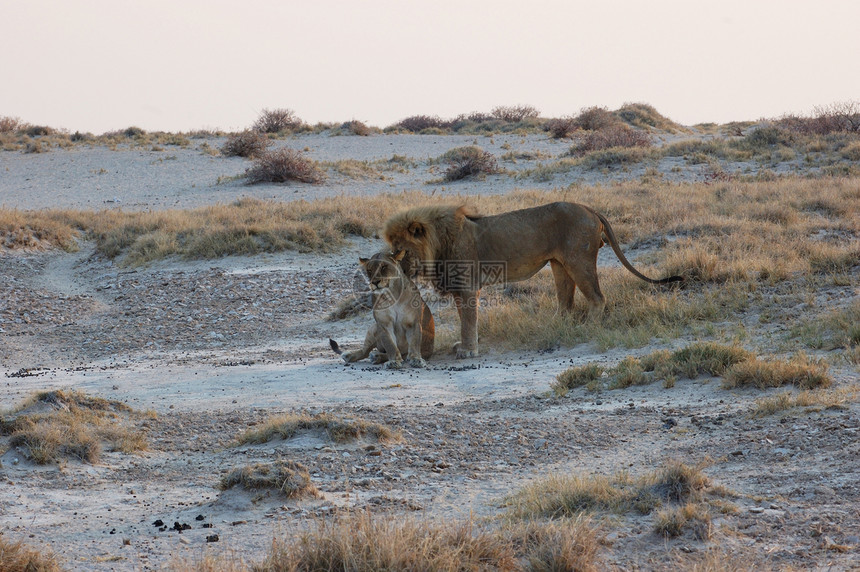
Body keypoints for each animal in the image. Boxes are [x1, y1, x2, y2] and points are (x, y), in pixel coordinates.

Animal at [386, 202, 680, 358]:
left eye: (400, 249)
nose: (395, 268)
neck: (437, 244)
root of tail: (590, 209)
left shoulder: (467, 286)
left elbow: (468, 321)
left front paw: (469, 350)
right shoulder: (460, 289)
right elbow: (464, 319)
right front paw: (466, 345)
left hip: (579, 260)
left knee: (598, 297)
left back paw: (586, 329)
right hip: (559, 265)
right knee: (566, 302)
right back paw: (556, 326)